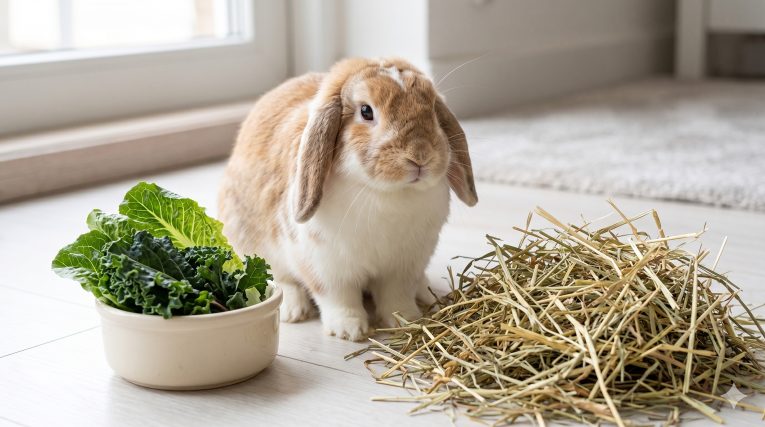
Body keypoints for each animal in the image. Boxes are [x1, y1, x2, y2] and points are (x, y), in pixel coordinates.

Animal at [218, 57, 477, 341]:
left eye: (431, 107)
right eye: (366, 111)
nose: (420, 155)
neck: (387, 192)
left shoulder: (403, 267)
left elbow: (396, 297)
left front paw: (406, 320)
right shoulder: (326, 267)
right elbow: (338, 298)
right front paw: (349, 330)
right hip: (256, 247)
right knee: (279, 279)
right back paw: (293, 310)